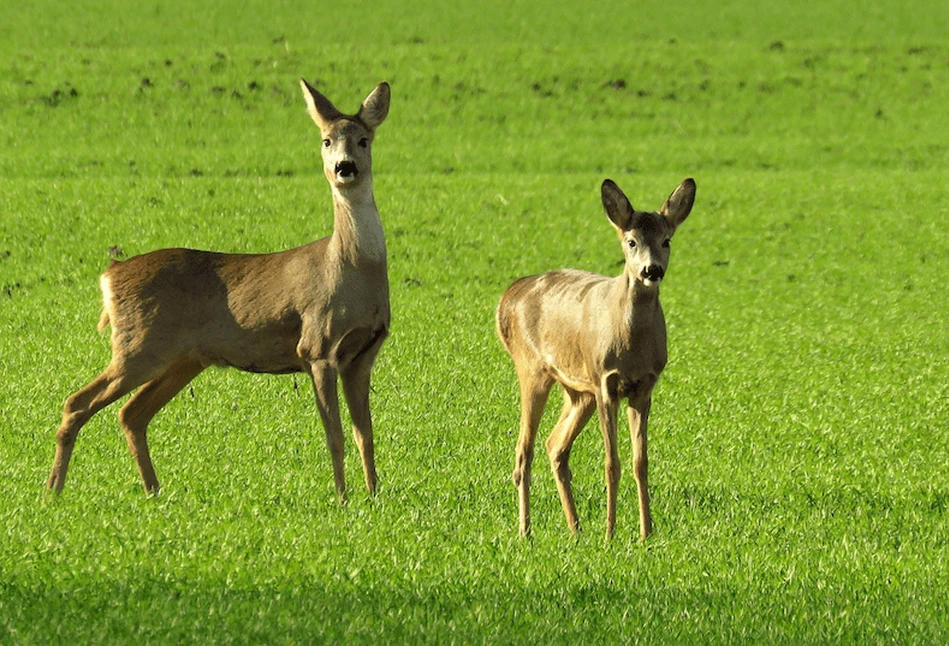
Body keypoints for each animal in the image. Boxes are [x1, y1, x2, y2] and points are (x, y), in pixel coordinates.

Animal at [45, 81, 388, 504]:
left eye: (363, 139)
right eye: (326, 140)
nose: (345, 167)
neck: (351, 269)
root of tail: (110, 275)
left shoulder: (363, 355)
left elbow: (365, 434)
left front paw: (374, 496)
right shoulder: (317, 346)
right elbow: (335, 435)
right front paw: (342, 499)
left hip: (184, 359)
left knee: (132, 413)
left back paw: (154, 492)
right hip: (138, 346)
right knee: (77, 402)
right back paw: (53, 492)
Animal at [496, 177, 696, 540]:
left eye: (666, 240)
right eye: (631, 241)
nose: (652, 270)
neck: (630, 342)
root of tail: (508, 298)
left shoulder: (644, 387)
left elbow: (640, 462)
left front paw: (646, 533)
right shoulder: (605, 381)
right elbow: (611, 462)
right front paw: (610, 533)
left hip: (578, 390)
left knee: (555, 445)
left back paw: (575, 528)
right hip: (532, 369)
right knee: (523, 451)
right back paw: (525, 532)